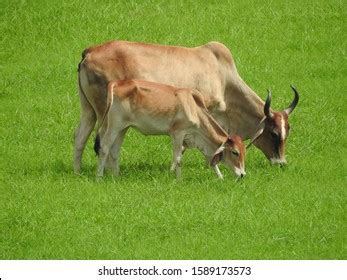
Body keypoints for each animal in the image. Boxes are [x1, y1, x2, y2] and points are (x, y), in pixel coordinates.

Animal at [93, 80, 260, 178]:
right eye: (235, 152)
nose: (242, 174)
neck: (194, 108)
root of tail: (116, 83)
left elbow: (209, 159)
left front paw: (220, 178)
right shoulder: (178, 133)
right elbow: (178, 158)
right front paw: (178, 179)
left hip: (123, 128)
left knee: (114, 151)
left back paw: (116, 177)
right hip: (114, 126)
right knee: (104, 148)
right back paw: (99, 177)